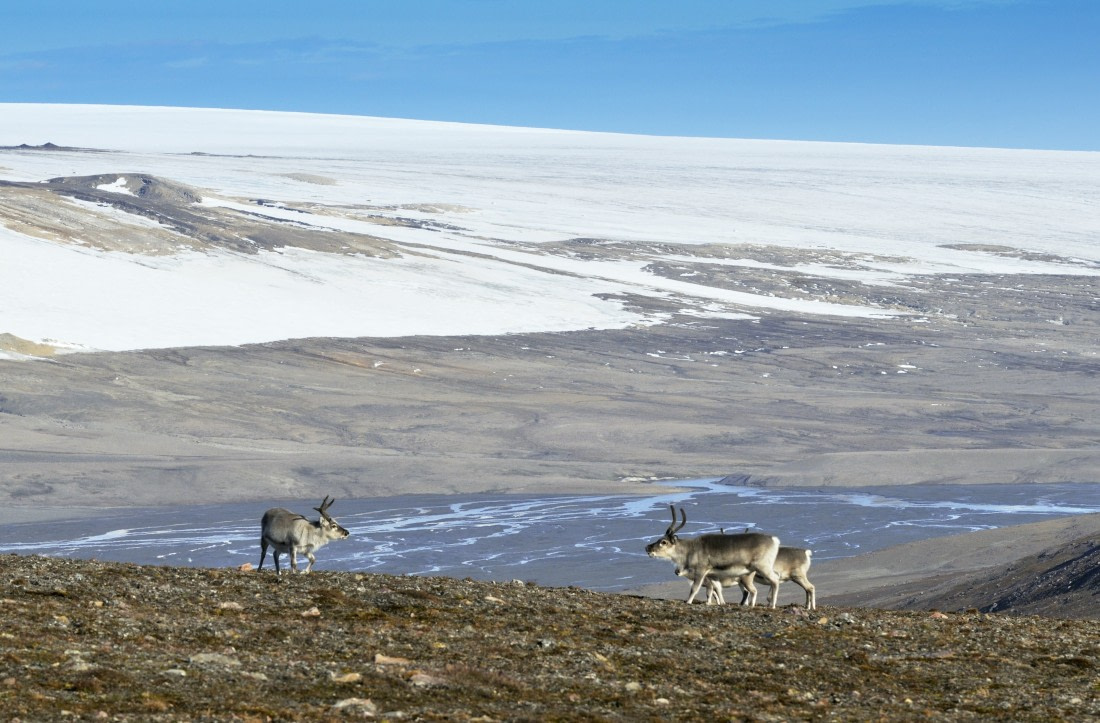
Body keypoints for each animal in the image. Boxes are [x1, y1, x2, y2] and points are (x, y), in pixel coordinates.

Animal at [645, 505, 781, 607]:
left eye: (664, 542)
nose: (647, 547)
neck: (690, 549)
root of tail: (774, 540)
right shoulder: (713, 575)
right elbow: (717, 590)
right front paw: (721, 603)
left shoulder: (701, 570)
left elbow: (694, 588)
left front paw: (688, 602)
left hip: (763, 567)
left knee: (774, 580)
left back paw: (772, 605)